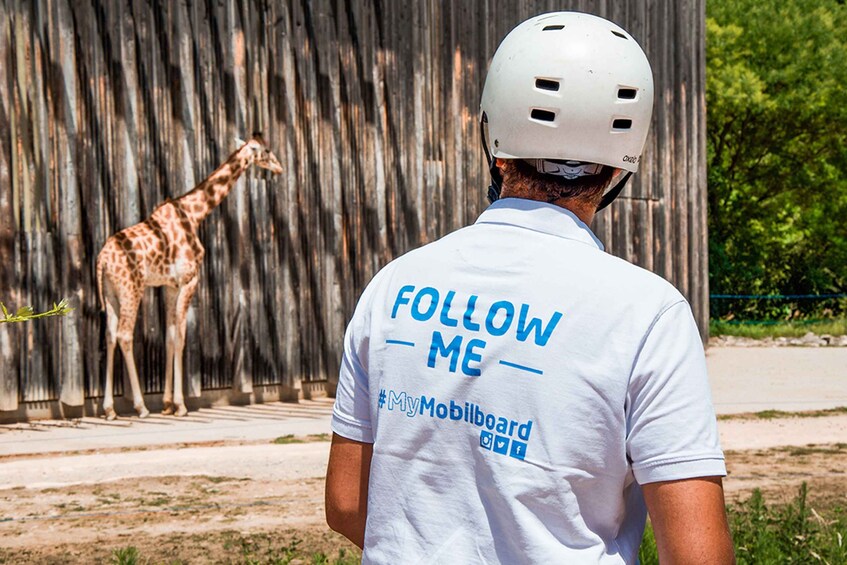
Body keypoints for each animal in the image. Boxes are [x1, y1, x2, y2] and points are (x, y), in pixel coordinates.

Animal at [95, 135, 284, 418]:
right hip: (132, 289)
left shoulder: (171, 286)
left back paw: (109, 409)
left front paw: (167, 403)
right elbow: (182, 338)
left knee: (109, 335)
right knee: (124, 335)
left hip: (111, 293)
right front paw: (180, 405)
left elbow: (170, 336)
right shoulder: (190, 280)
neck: (194, 214)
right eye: (267, 150)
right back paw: (140, 407)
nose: (280, 167)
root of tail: (102, 261)